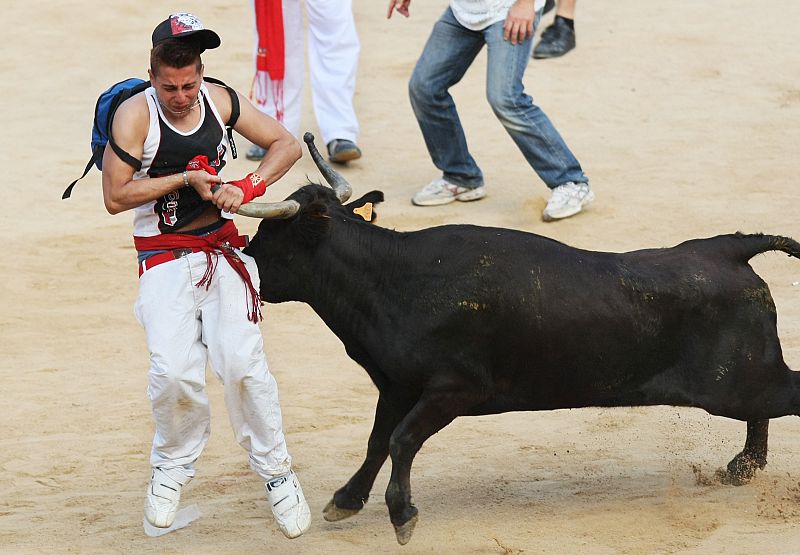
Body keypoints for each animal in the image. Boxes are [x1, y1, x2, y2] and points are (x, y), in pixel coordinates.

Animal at [241, 136, 796, 548]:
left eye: (269, 238)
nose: (240, 257)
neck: (389, 278)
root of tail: (728, 248)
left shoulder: (453, 390)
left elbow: (401, 440)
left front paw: (402, 515)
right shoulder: (396, 386)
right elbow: (379, 440)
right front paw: (346, 501)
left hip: (736, 385)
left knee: (781, 396)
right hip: (742, 383)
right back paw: (744, 467)